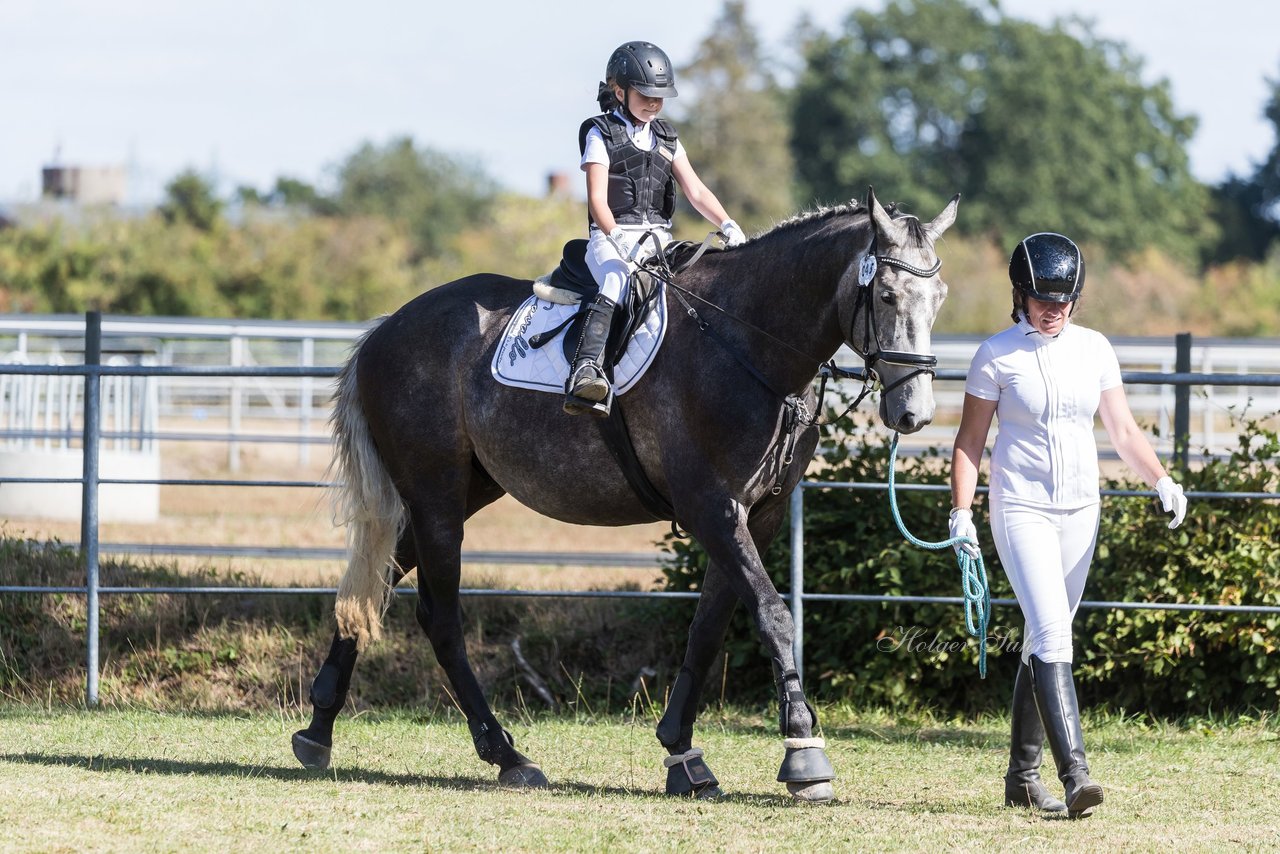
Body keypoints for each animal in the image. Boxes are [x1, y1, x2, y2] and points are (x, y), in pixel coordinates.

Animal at [293, 185, 962, 804]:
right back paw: (506, 754)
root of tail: (385, 330)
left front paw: (682, 754)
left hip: (463, 493)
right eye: (885, 296)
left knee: (374, 589)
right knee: (441, 618)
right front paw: (803, 751)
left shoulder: (759, 515)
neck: (746, 342)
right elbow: (773, 614)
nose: (915, 414)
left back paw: (319, 729)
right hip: (436, 499)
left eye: (939, 300)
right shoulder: (713, 509)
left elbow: (710, 627)